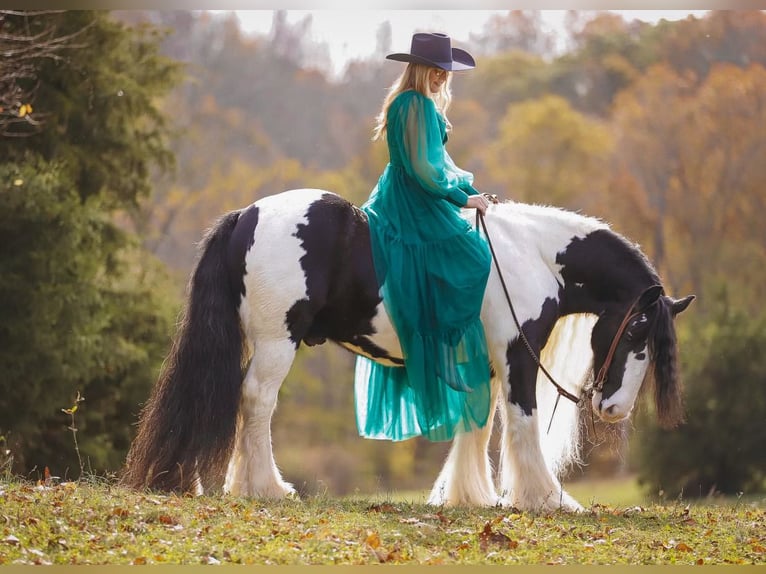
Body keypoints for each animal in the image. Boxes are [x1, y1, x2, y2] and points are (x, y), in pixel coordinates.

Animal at [121, 189, 696, 512]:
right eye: (638, 328)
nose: (613, 408)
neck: (528, 255)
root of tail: (247, 215)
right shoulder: (516, 356)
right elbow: (522, 423)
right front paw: (546, 499)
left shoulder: (486, 364)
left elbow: (478, 425)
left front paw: (470, 496)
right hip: (275, 342)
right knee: (258, 401)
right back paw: (268, 488)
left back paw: (246, 486)